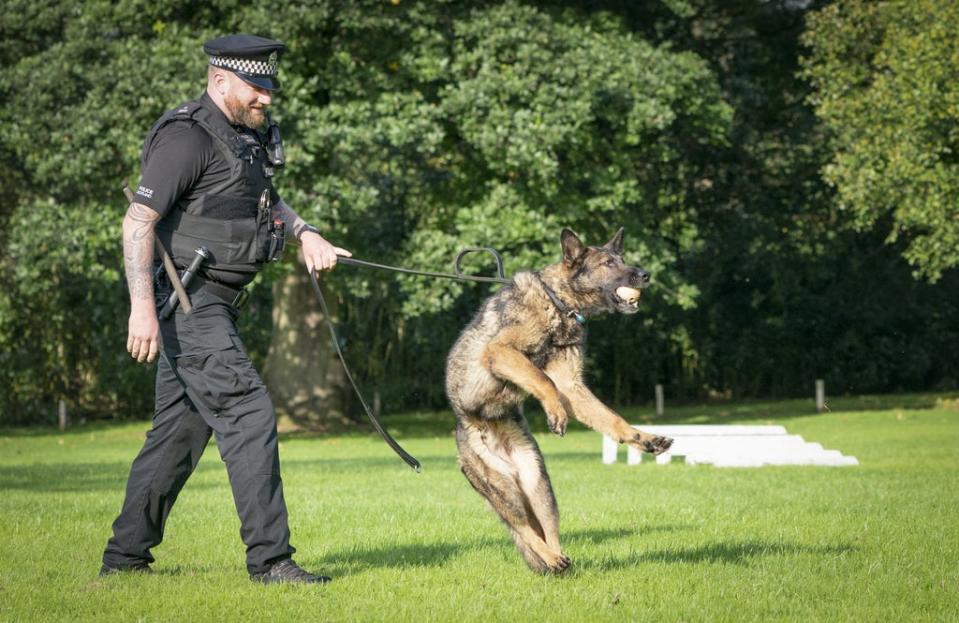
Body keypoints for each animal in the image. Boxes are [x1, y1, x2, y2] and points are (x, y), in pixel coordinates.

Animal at [444, 229, 676, 576]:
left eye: (622, 259)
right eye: (608, 263)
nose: (645, 274)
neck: (558, 302)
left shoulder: (572, 385)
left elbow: (611, 418)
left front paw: (643, 439)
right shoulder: (501, 351)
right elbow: (543, 380)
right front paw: (555, 413)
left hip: (538, 484)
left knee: (545, 528)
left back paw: (557, 559)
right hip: (503, 489)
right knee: (524, 529)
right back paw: (550, 558)